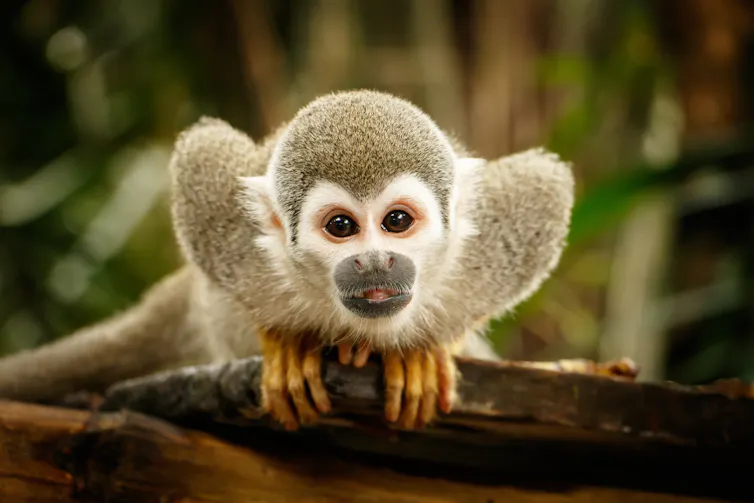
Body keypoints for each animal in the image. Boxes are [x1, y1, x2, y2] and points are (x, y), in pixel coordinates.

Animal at [0, 90, 574, 431]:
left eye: (396, 222)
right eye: (341, 227)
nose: (375, 262)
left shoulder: (493, 243)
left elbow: (546, 185)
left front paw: (425, 351)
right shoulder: (230, 239)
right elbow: (202, 153)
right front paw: (284, 343)